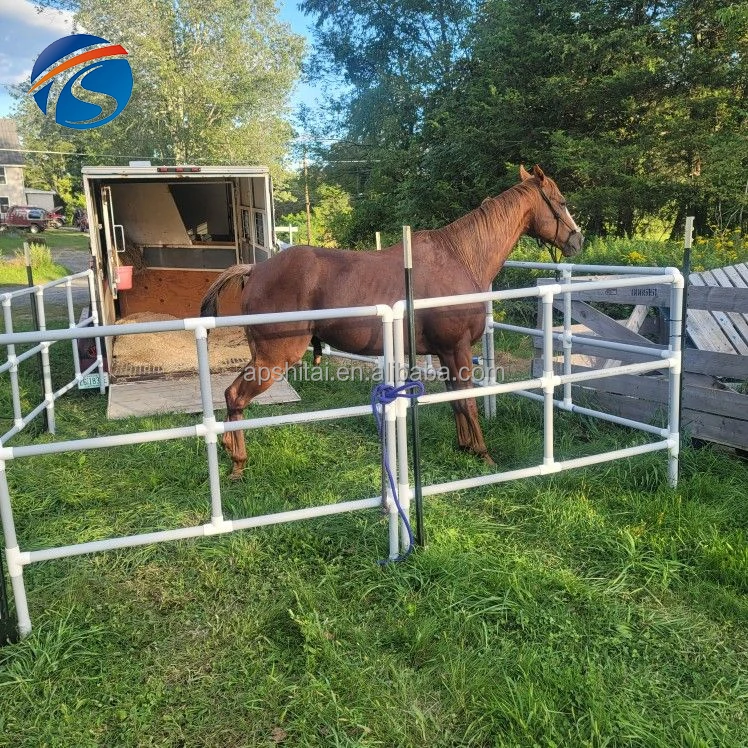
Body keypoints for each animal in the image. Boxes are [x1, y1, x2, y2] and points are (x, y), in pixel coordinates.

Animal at [201, 165, 583, 479]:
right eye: (561, 201)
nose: (578, 239)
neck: (461, 257)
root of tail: (255, 270)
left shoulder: (446, 353)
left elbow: (456, 400)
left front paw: (465, 447)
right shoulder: (457, 349)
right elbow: (468, 400)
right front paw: (483, 454)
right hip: (273, 359)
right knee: (235, 396)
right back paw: (237, 463)